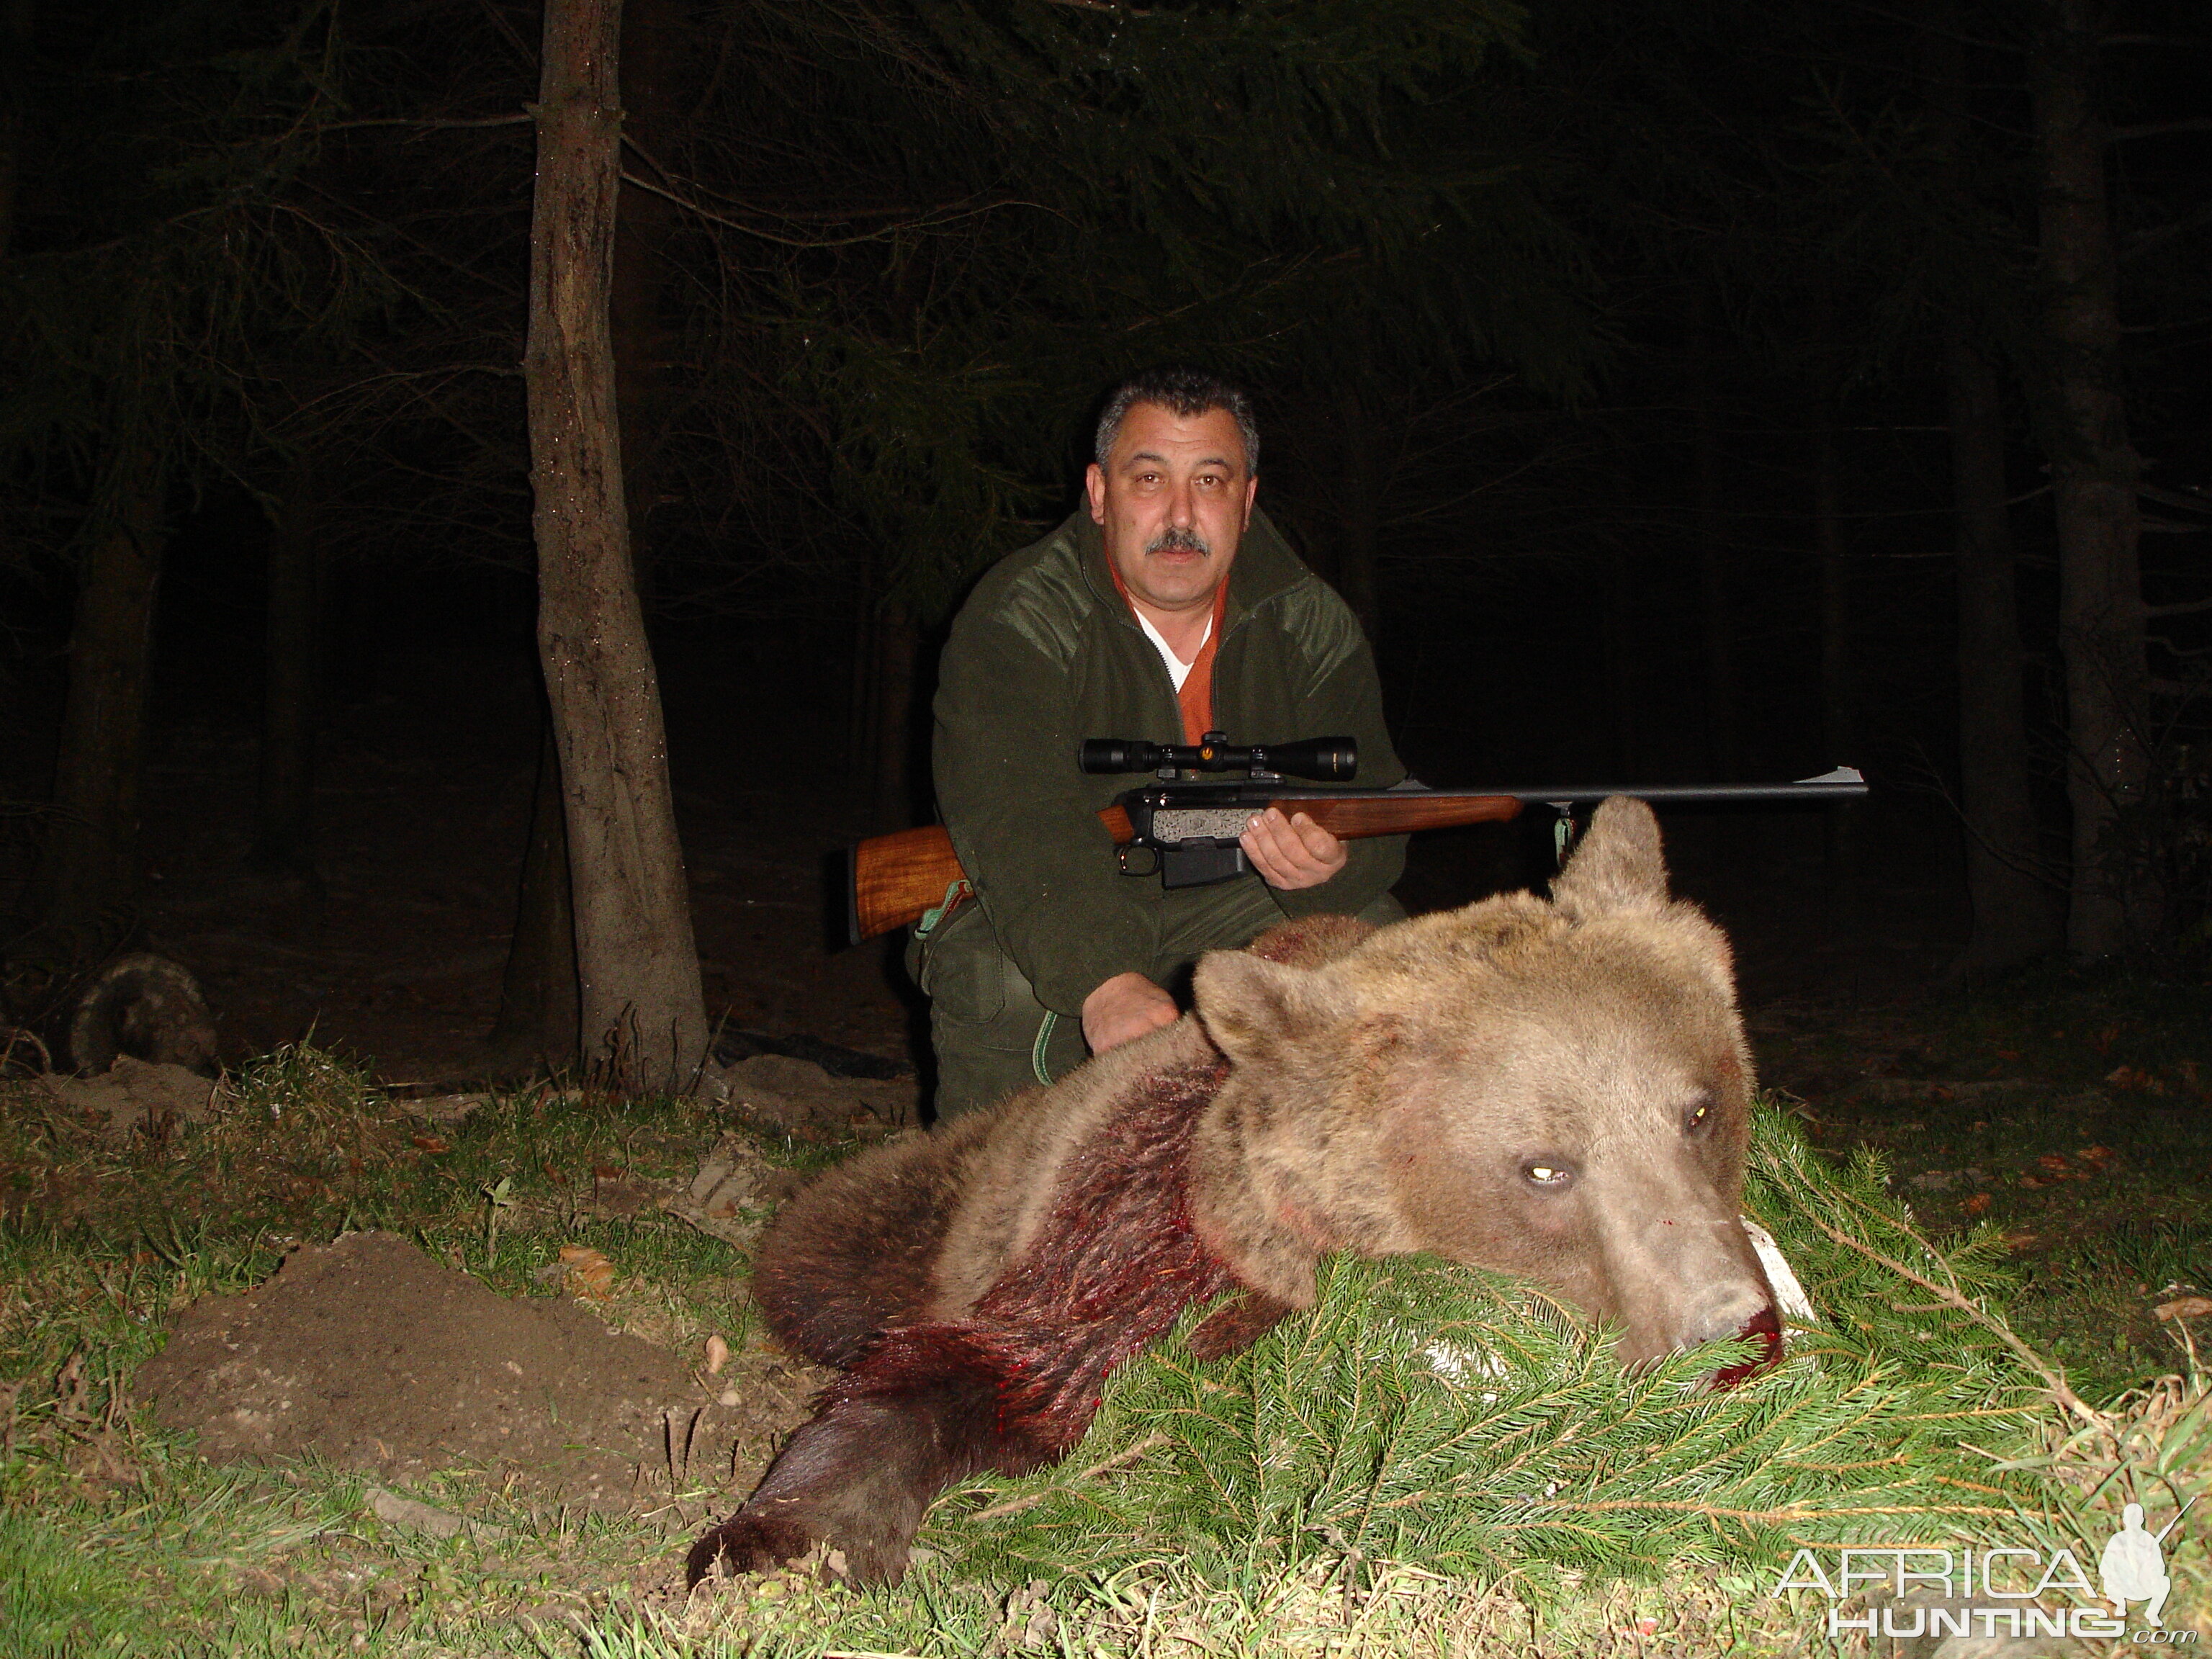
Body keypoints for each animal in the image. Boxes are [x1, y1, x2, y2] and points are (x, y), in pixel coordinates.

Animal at [690, 801, 1778, 1592]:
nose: (1731, 1327)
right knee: (826, 1261)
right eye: (1547, 1166)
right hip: (936, 1193)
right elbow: (979, 1370)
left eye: (1699, 1109)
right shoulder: (1129, 1238)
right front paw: (783, 1540)